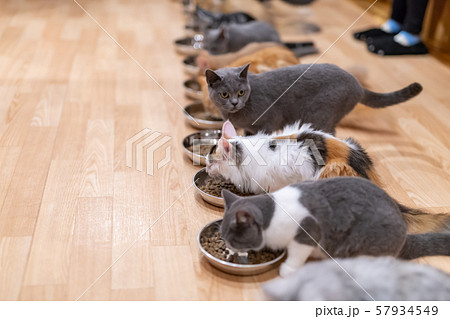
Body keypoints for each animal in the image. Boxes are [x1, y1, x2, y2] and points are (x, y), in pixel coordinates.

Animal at [206, 63, 424, 135]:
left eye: (241, 92)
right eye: (224, 94)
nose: (235, 102)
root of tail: (358, 86)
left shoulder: (269, 122)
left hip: (320, 115)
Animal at [221, 178, 450, 278]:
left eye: (233, 238)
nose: (227, 248)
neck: (274, 211)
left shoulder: (307, 232)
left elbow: (296, 254)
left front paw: (288, 269)